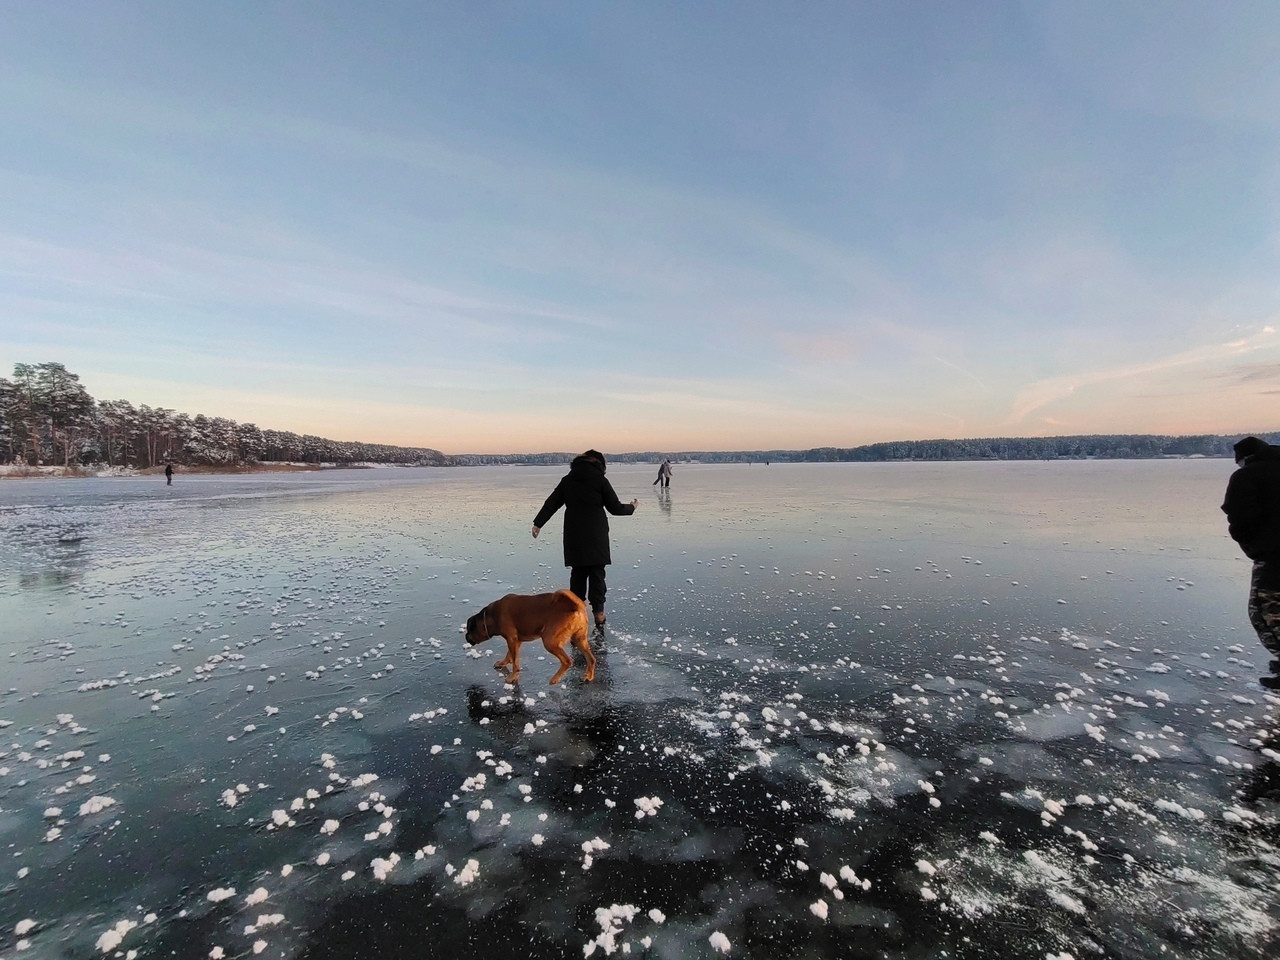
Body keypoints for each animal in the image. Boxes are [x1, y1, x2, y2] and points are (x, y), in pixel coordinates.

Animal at [465, 591, 593, 686]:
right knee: (591, 659)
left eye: (468, 630)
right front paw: (503, 663)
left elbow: (515, 662)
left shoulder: (511, 639)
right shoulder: (516, 640)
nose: (465, 636)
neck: (492, 616)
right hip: (579, 639)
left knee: (567, 661)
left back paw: (555, 679)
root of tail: (575, 606)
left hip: (549, 641)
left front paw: (513, 677)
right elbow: (510, 655)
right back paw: (589, 676)